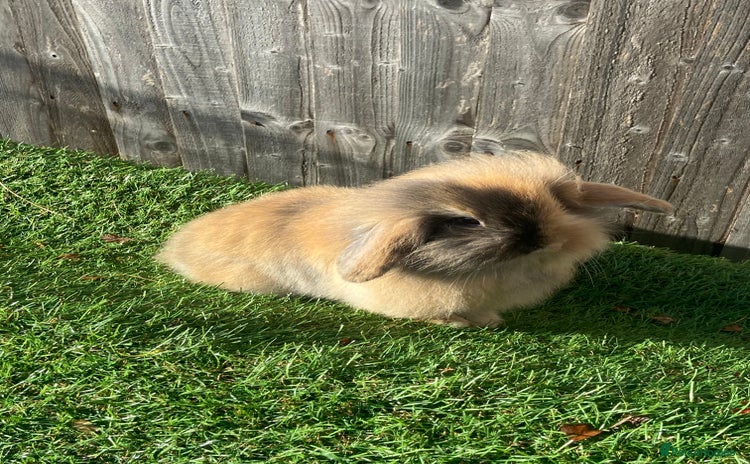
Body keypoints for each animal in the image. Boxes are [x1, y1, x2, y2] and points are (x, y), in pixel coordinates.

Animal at [155, 151, 673, 327]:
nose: (543, 239)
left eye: (557, 203)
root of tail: (174, 248)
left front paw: (490, 320)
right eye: (467, 222)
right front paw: (469, 324)